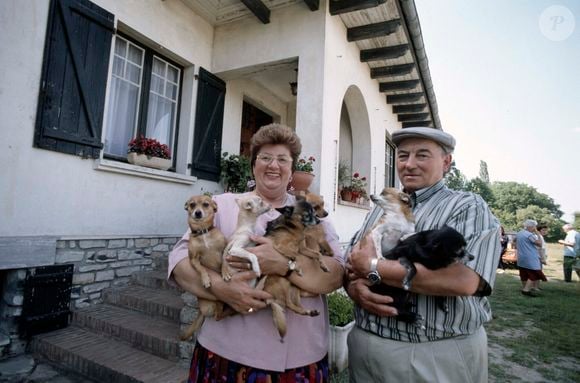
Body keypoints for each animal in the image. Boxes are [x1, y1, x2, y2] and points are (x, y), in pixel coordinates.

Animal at [181, 196, 227, 340]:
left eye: (206, 204)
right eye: (192, 205)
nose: (197, 212)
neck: (203, 232)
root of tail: (200, 311)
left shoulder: (225, 247)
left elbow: (225, 259)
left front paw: (225, 272)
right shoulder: (193, 259)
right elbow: (201, 269)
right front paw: (206, 280)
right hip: (213, 306)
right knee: (218, 315)